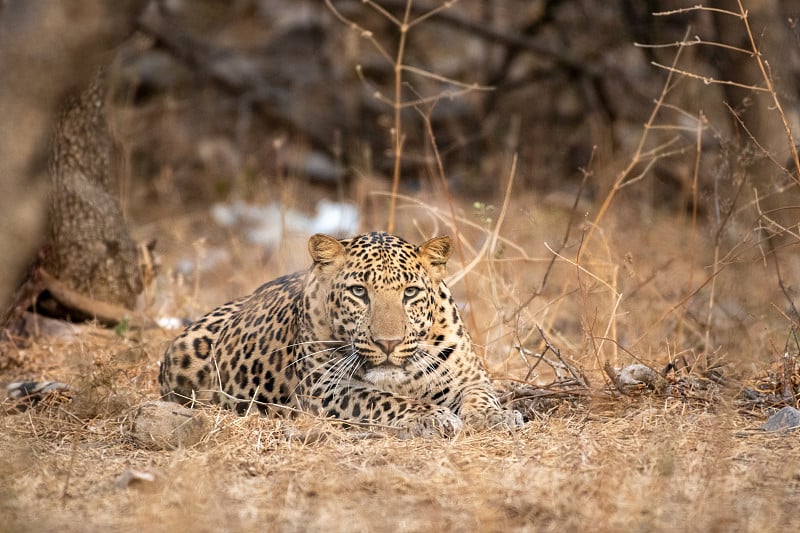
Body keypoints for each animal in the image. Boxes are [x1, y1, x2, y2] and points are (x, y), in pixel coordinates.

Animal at [160, 231, 524, 434]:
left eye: (410, 293)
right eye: (359, 292)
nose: (388, 343)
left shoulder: (470, 378)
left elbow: (481, 396)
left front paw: (497, 417)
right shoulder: (327, 391)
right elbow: (384, 399)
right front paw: (432, 417)